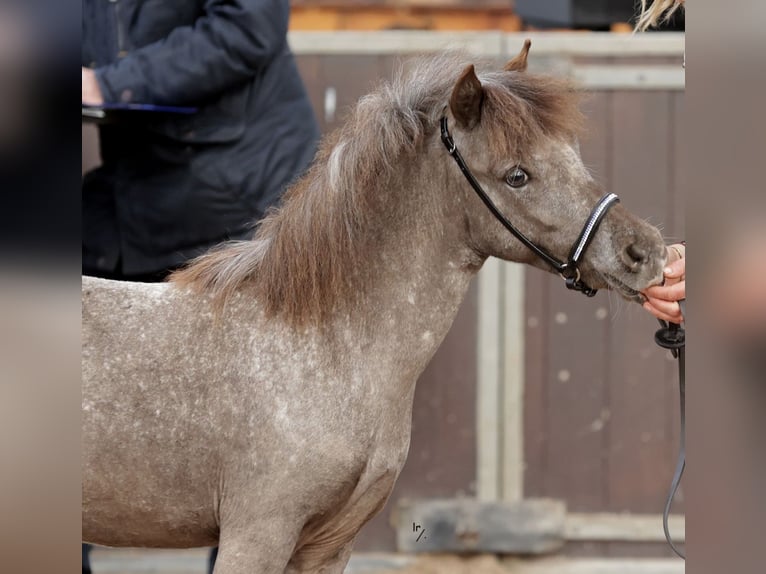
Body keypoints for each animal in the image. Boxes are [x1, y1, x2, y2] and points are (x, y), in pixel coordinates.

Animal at [84, 45, 668, 574]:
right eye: (517, 175)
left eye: (572, 152)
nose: (645, 251)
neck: (321, 347)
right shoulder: (257, 535)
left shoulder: (328, 547)